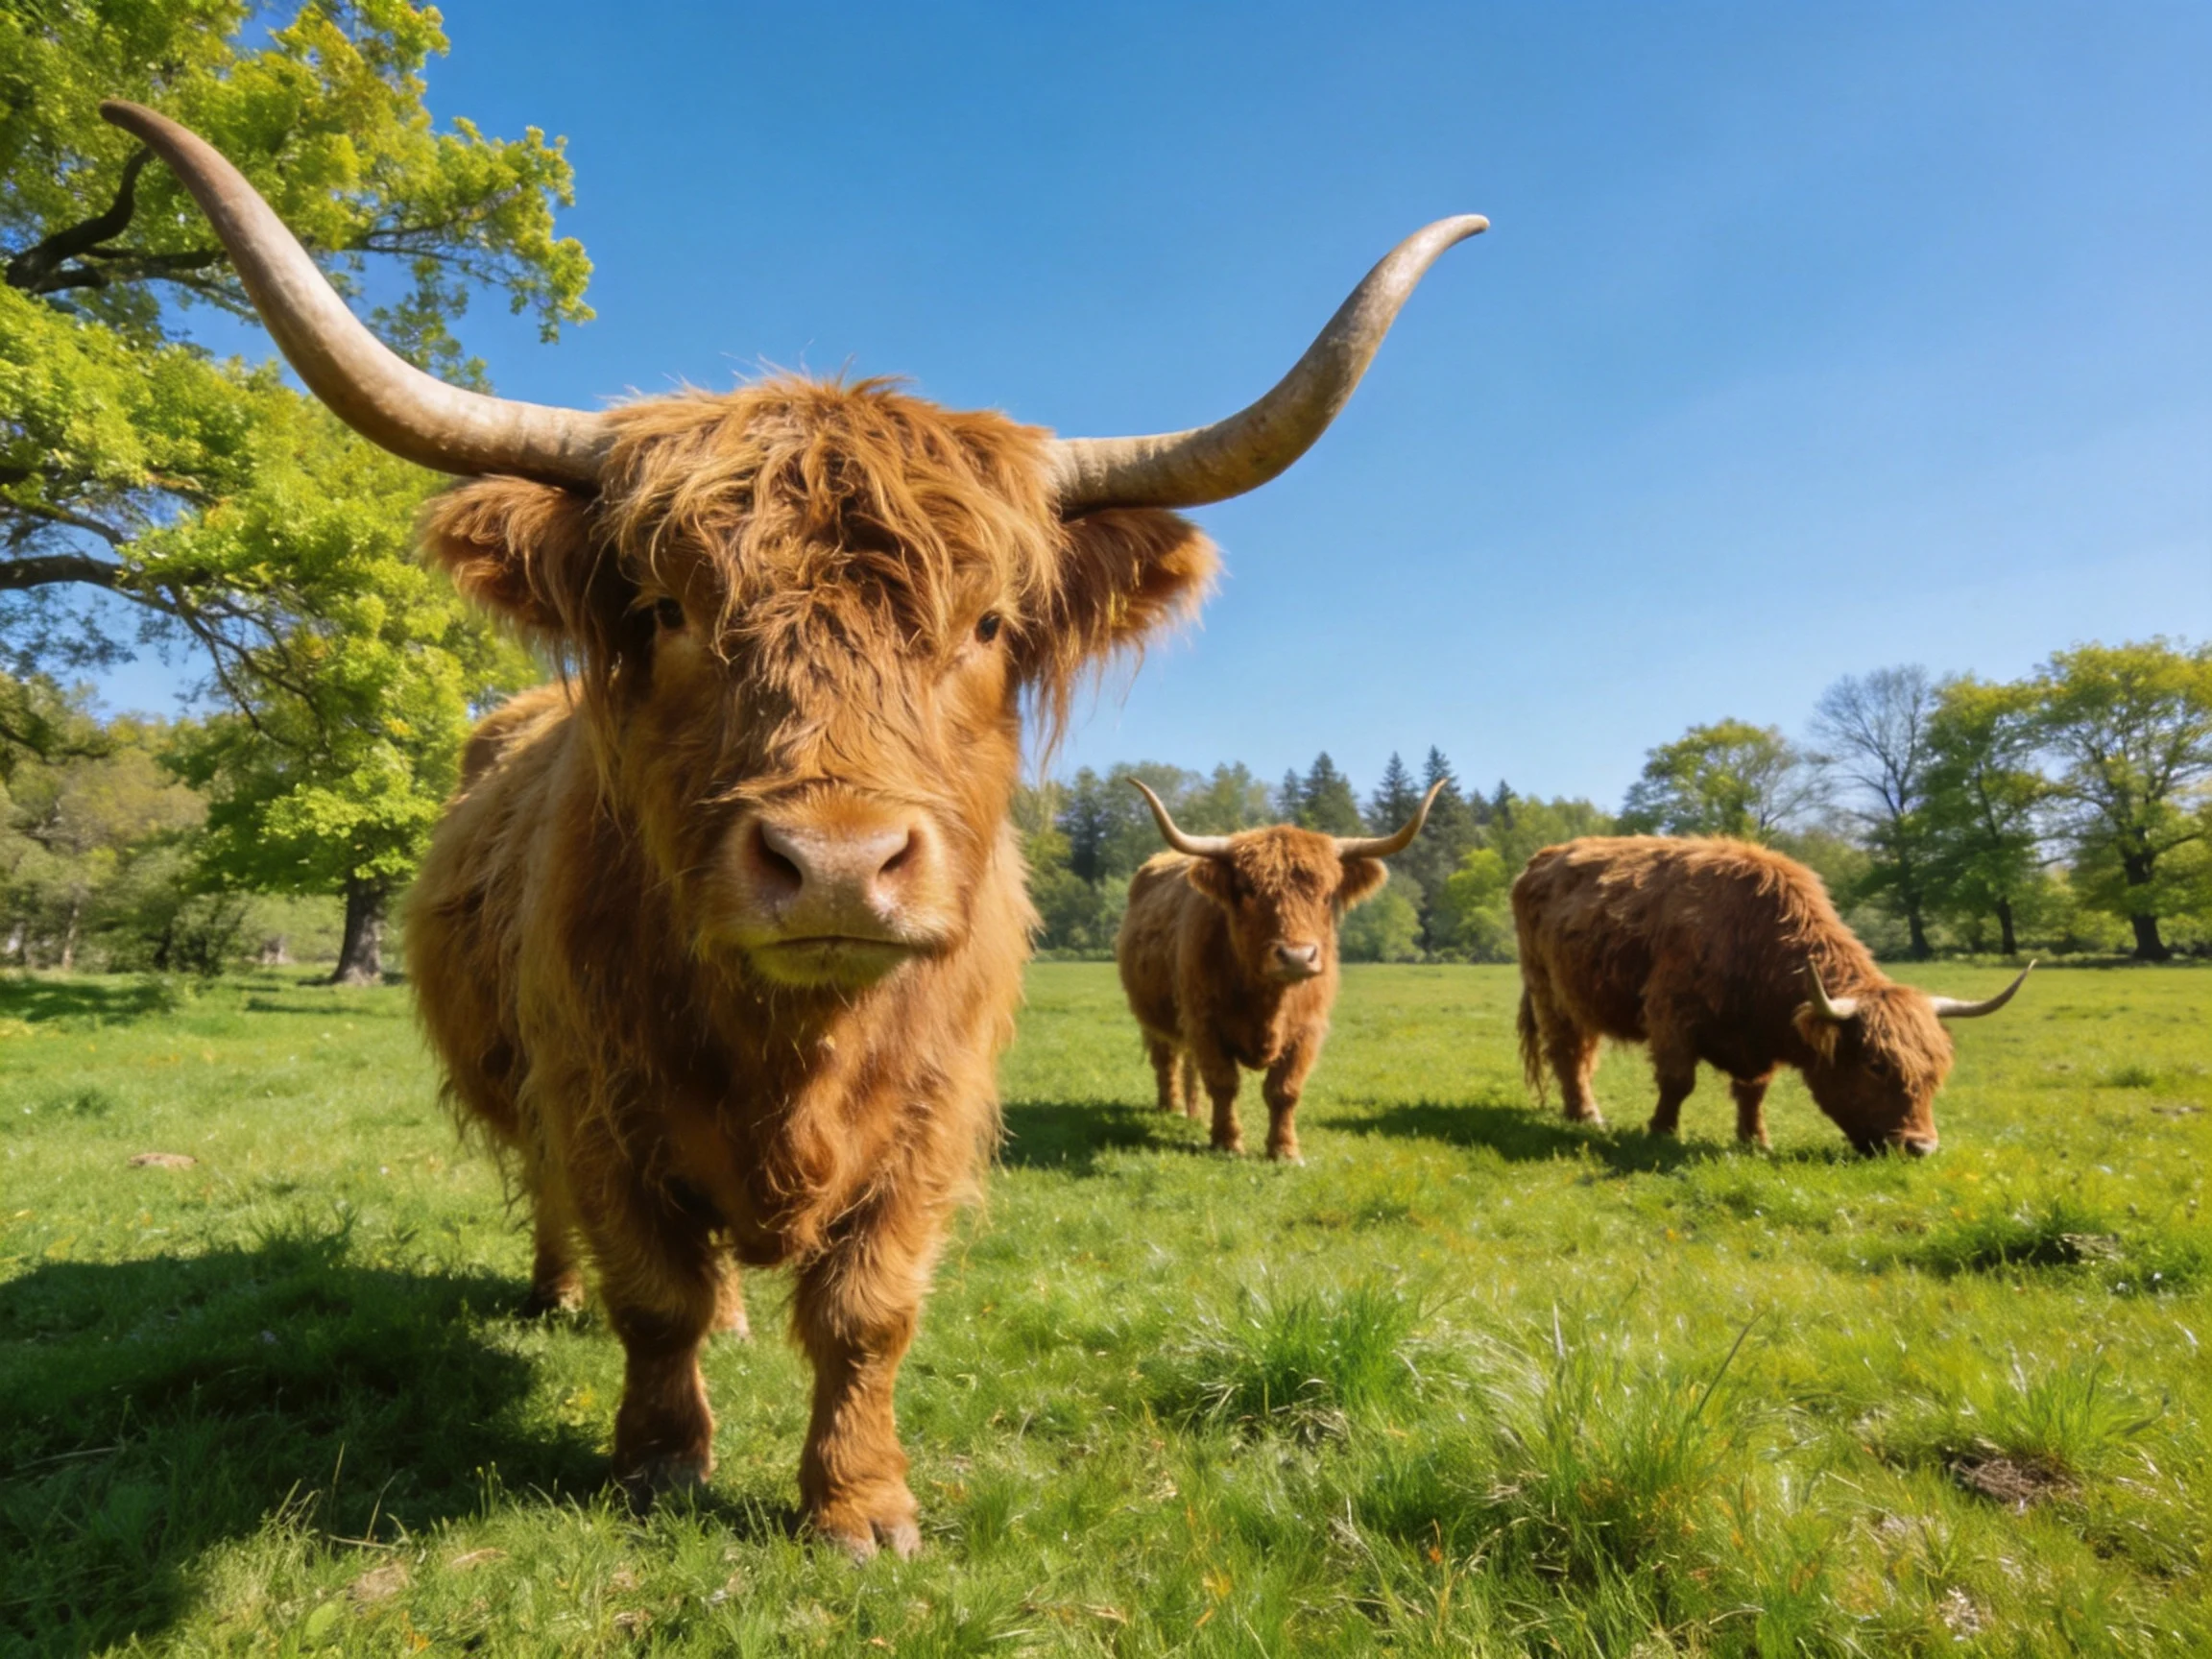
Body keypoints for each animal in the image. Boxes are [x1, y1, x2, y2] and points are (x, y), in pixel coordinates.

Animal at [1115, 780, 1442, 1161]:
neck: (1268, 1002)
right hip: (1153, 1017)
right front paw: (1227, 1142)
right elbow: (1224, 1083)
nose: (1297, 956)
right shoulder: (1204, 1021)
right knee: (1167, 1059)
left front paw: (1284, 1150)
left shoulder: (1307, 1029)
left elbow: (1284, 1089)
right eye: (1247, 890)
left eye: (1326, 894)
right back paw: (1173, 1108)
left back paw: (1195, 1113)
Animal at [1511, 836, 2032, 1155]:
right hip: (1549, 992)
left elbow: (1753, 1091)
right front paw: (1661, 1131)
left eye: (1936, 1071)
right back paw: (1586, 1116)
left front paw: (1755, 1141)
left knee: (1583, 1053)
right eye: (1876, 1065)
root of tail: (1541, 860)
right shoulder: (1670, 1013)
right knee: (1567, 1054)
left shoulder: (1755, 1041)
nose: (1921, 1147)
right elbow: (1678, 1081)